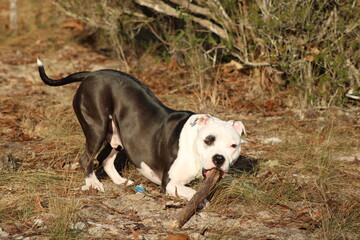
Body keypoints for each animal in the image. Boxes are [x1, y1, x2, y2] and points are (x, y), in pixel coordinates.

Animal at [37, 58, 245, 201]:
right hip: (97, 127)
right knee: (87, 157)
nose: (219, 159)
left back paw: (120, 181)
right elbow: (194, 194)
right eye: (208, 140)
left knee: (105, 158)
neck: (193, 146)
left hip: (117, 136)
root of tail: (92, 74)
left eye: (233, 146)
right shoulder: (170, 183)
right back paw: (94, 183)